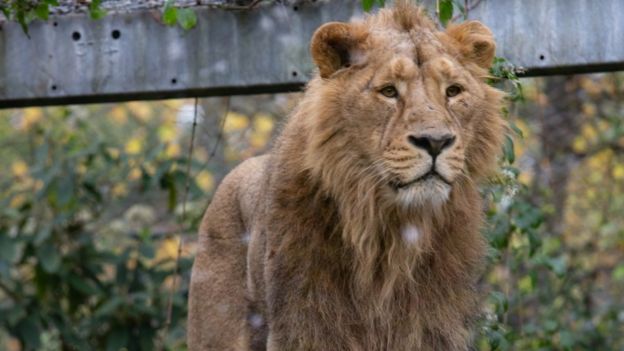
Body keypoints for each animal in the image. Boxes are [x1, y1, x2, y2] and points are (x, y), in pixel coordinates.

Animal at [188, 1, 504, 350]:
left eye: (453, 91)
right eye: (389, 91)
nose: (435, 141)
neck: (387, 231)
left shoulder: (432, 325)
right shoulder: (303, 324)